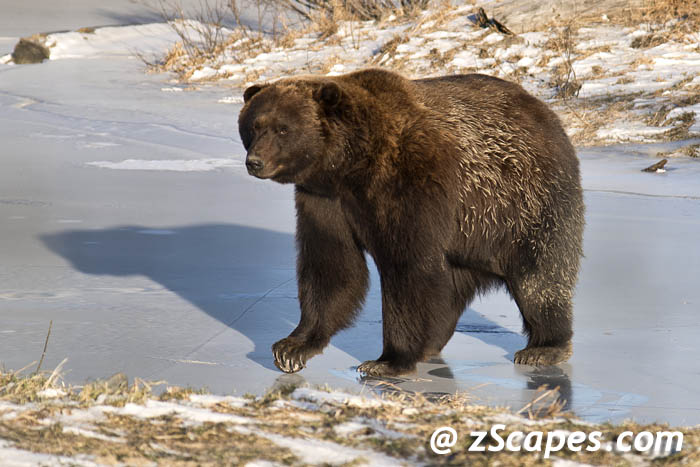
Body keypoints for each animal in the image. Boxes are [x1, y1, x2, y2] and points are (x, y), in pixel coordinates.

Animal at [238, 68, 584, 377]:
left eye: (283, 128)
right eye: (254, 125)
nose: (255, 162)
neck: (352, 165)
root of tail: (544, 112)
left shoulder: (409, 183)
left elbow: (408, 268)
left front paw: (386, 360)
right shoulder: (324, 200)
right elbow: (332, 266)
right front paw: (291, 347)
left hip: (521, 203)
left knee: (539, 277)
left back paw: (543, 347)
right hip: (468, 237)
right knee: (451, 288)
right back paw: (434, 342)